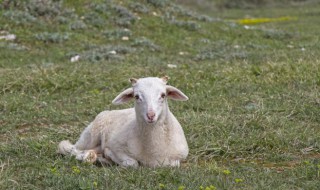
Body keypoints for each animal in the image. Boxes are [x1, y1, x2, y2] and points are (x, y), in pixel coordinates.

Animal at [57, 76, 189, 167]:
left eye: (163, 95)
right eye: (136, 96)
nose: (151, 115)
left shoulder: (179, 157)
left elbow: (173, 164)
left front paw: (106, 158)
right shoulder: (117, 147)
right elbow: (132, 163)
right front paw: (109, 156)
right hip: (90, 136)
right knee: (70, 149)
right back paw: (88, 156)